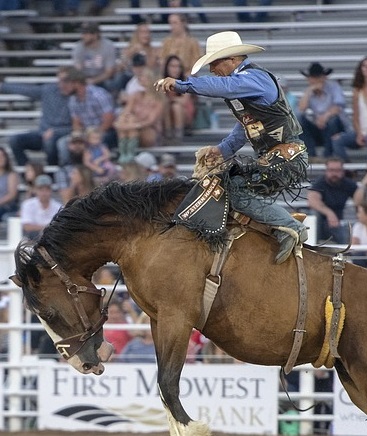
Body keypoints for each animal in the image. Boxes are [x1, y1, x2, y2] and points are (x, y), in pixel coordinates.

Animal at [10, 178, 367, 436]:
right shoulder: (157, 320)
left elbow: (170, 388)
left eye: (48, 313)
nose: (81, 364)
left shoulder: (177, 318)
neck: (148, 234)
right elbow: (165, 393)